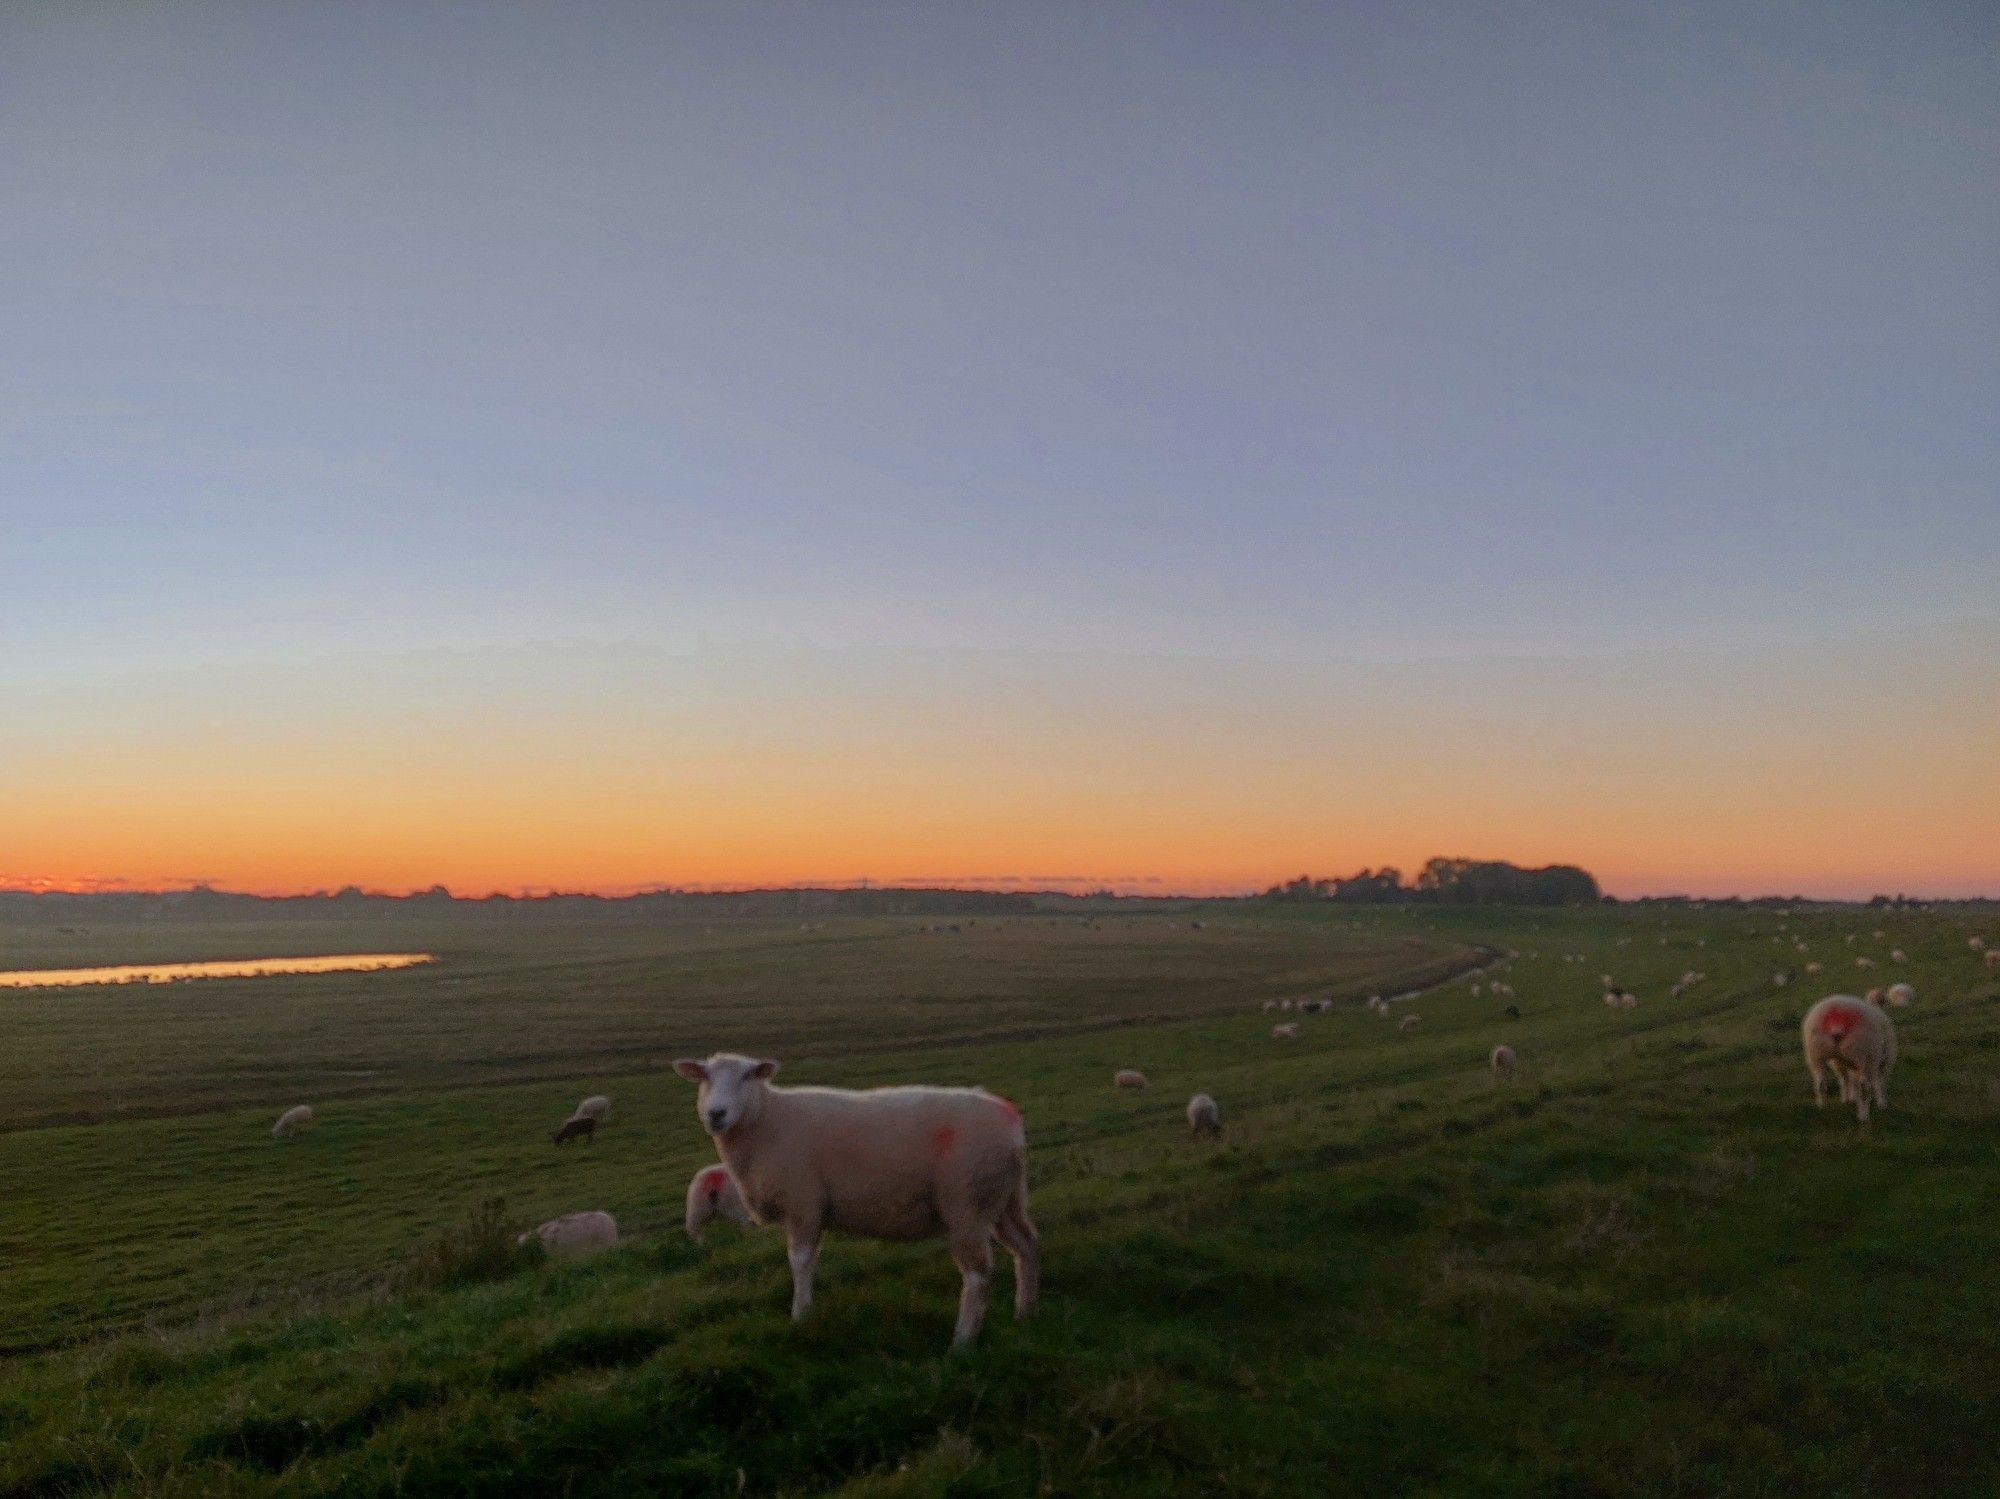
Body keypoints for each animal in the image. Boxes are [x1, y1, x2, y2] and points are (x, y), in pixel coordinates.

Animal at [676, 1047, 1040, 1359]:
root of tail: (1010, 1120)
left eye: (747, 1076)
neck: (768, 1119)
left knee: (978, 1274)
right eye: (704, 1077)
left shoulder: (804, 1202)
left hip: (966, 1203)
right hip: (1003, 1199)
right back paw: (1025, 1313)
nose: (716, 1114)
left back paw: (962, 1343)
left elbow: (800, 1261)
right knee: (1027, 1246)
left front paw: (800, 1316)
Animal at [1808, 999, 1896, 1127]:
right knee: (1864, 1088)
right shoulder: (1882, 1062)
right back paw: (1863, 1116)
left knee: (1821, 1083)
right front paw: (1882, 1104)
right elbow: (1879, 1083)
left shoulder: (1843, 1063)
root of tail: (1837, 1020)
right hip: (1865, 1054)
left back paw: (1822, 1108)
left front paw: (1848, 1099)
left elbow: (1847, 1080)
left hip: (1816, 1054)